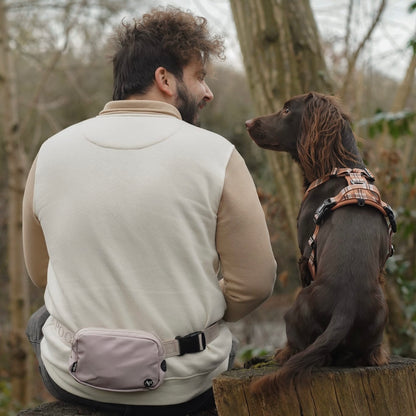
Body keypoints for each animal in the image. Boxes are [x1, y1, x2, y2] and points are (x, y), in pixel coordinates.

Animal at [245, 92, 394, 394]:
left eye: (287, 109)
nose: (247, 123)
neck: (340, 167)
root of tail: (345, 307)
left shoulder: (305, 254)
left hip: (293, 310)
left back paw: (282, 352)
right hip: (379, 314)